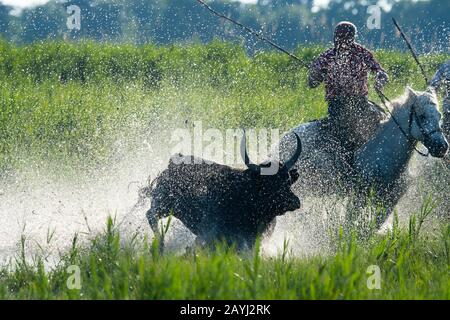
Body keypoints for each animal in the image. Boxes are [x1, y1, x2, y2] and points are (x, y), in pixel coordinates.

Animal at [147, 132, 302, 250]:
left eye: (287, 180)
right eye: (268, 184)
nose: (294, 202)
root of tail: (172, 162)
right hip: (164, 205)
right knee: (150, 214)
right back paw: (159, 245)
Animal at [280, 86, 448, 229]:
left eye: (439, 115)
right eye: (422, 116)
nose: (442, 147)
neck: (384, 153)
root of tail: (283, 140)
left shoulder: (390, 201)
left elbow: (371, 228)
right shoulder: (358, 197)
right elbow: (350, 223)